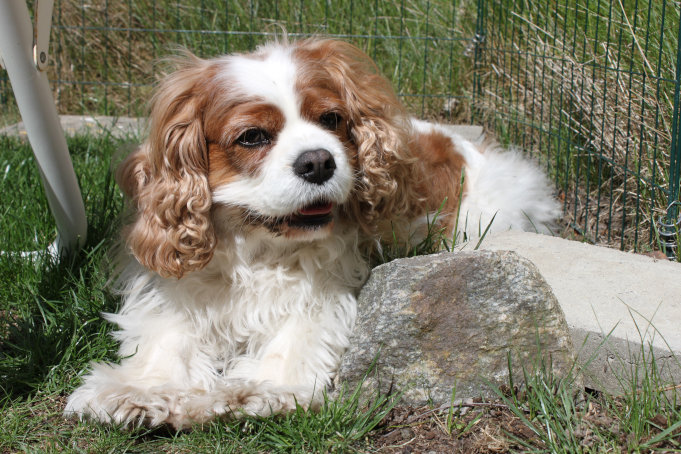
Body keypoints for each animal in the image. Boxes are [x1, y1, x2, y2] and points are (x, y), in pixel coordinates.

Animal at [63, 37, 556, 428]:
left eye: (332, 119)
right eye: (252, 136)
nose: (319, 161)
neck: (256, 246)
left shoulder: (324, 287)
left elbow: (295, 337)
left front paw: (261, 388)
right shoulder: (177, 288)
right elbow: (169, 340)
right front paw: (144, 392)